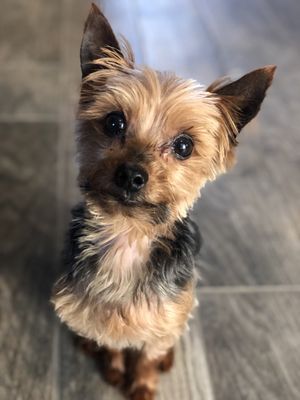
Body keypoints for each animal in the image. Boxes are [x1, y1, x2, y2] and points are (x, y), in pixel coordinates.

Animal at [51, 3, 274, 400]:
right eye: (113, 122)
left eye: (184, 146)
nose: (131, 175)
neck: (128, 235)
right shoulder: (93, 311)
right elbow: (111, 340)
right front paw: (112, 367)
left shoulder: (166, 313)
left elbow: (147, 353)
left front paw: (141, 385)